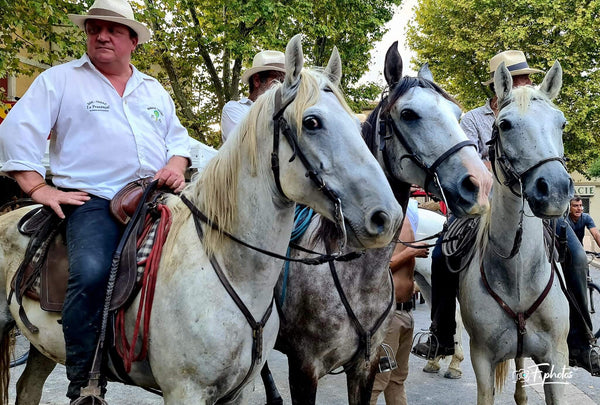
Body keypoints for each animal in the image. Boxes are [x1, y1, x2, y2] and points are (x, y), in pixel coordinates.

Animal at [1, 35, 404, 404]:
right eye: (312, 121)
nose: (385, 217)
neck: (229, 270)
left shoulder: (240, 391)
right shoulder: (186, 391)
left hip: (42, 346)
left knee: (28, 387)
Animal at [462, 61, 576, 402]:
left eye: (561, 124)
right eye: (505, 125)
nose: (554, 190)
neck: (518, 273)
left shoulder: (557, 359)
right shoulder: (482, 360)